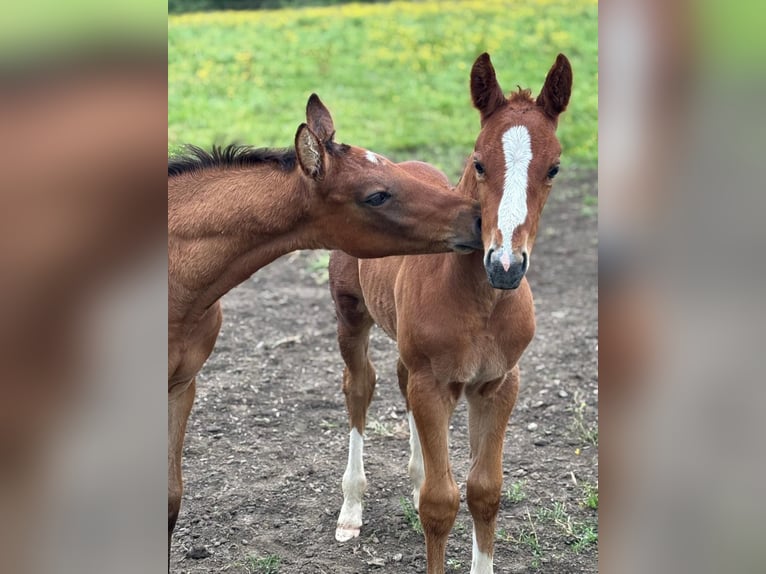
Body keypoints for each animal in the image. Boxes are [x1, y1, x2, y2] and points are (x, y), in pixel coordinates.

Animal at [329, 53, 572, 573]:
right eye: (478, 162)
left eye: (555, 168)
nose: (504, 265)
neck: (482, 302)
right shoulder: (433, 383)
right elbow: (440, 503)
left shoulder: (498, 384)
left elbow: (485, 492)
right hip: (350, 316)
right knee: (359, 387)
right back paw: (351, 508)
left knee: (399, 381)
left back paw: (414, 475)